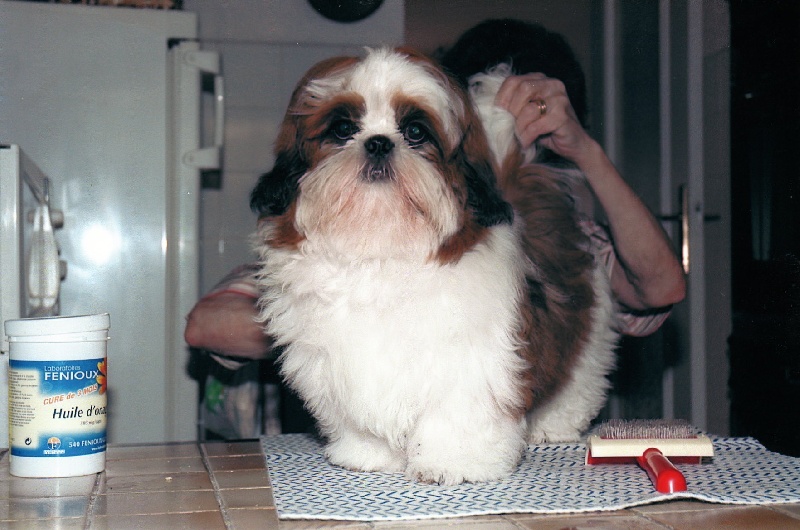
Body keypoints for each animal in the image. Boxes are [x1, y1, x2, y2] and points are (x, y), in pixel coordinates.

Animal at [250, 47, 620, 480]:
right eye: (342, 129)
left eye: (415, 132)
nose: (378, 143)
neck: (381, 250)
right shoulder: (337, 361)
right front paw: (368, 453)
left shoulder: (472, 360)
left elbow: (458, 412)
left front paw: (454, 462)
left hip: (588, 333)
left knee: (576, 375)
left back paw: (552, 424)